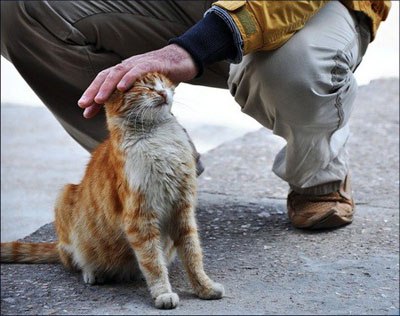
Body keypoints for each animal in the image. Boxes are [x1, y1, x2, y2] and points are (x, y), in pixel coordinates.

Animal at [0, 73, 223, 310]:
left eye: (163, 83)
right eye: (145, 87)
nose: (163, 93)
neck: (158, 137)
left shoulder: (182, 210)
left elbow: (192, 254)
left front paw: (204, 287)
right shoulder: (140, 218)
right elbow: (152, 262)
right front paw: (163, 293)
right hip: (65, 197)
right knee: (72, 258)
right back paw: (93, 272)